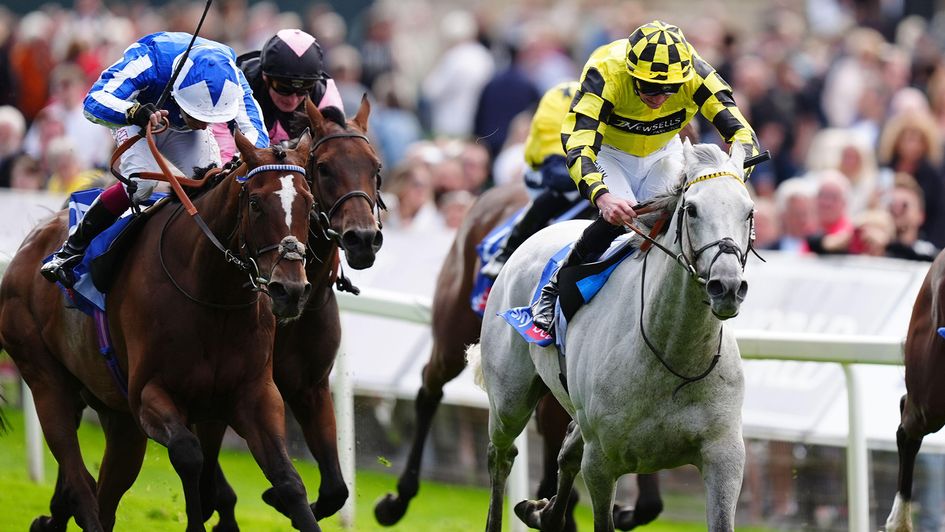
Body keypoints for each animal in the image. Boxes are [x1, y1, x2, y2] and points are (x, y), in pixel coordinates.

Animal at [0, 130, 320, 532]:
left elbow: (288, 479)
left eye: (309, 204)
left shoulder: (256, 394)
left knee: (104, 494)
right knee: (79, 483)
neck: (213, 296)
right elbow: (189, 454)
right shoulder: (149, 394)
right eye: (256, 203)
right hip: (45, 381)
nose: (290, 290)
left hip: (116, 414)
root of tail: (32, 242)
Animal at [205, 96, 386, 528]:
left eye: (376, 169)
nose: (363, 238)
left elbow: (336, 489)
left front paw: (279, 499)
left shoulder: (309, 387)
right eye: (325, 168)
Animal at [468, 141, 756, 532]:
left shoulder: (724, 456)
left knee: (566, 451)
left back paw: (543, 513)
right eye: (692, 209)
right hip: (510, 398)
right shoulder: (603, 462)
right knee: (501, 455)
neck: (673, 356)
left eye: (749, 212)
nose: (726, 287)